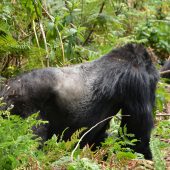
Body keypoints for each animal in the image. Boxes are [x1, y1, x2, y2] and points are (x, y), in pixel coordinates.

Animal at [0, 43, 159, 159]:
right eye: (153, 80)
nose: (156, 81)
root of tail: (6, 89)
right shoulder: (136, 80)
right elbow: (137, 136)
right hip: (20, 102)